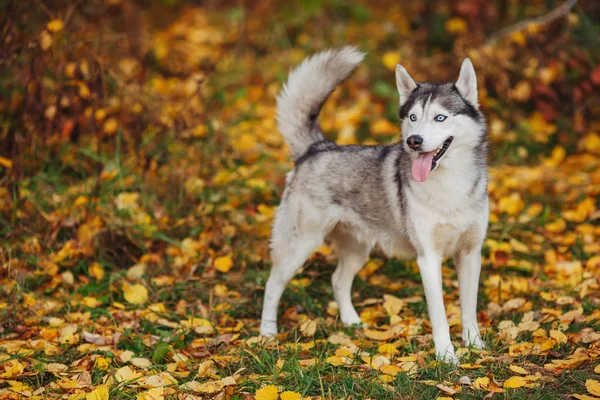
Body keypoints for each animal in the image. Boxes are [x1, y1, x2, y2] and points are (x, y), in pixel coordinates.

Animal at [258, 47, 488, 362]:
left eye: (440, 117)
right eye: (413, 117)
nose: (414, 141)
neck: (449, 187)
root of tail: (317, 148)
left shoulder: (470, 254)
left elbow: (469, 308)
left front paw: (474, 344)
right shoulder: (428, 258)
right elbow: (440, 314)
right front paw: (446, 356)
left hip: (357, 251)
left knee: (337, 280)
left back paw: (351, 322)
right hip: (299, 245)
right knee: (272, 284)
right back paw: (267, 333)